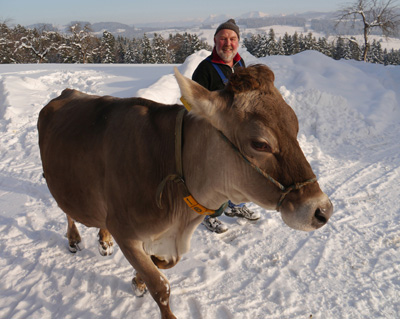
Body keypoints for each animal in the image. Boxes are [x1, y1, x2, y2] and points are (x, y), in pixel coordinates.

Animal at [37, 65, 332, 319]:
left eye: (295, 127)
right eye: (260, 143)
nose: (322, 209)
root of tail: (66, 93)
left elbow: (158, 266)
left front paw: (138, 280)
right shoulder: (127, 232)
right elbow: (161, 286)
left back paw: (104, 240)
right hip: (59, 182)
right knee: (67, 210)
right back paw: (75, 239)